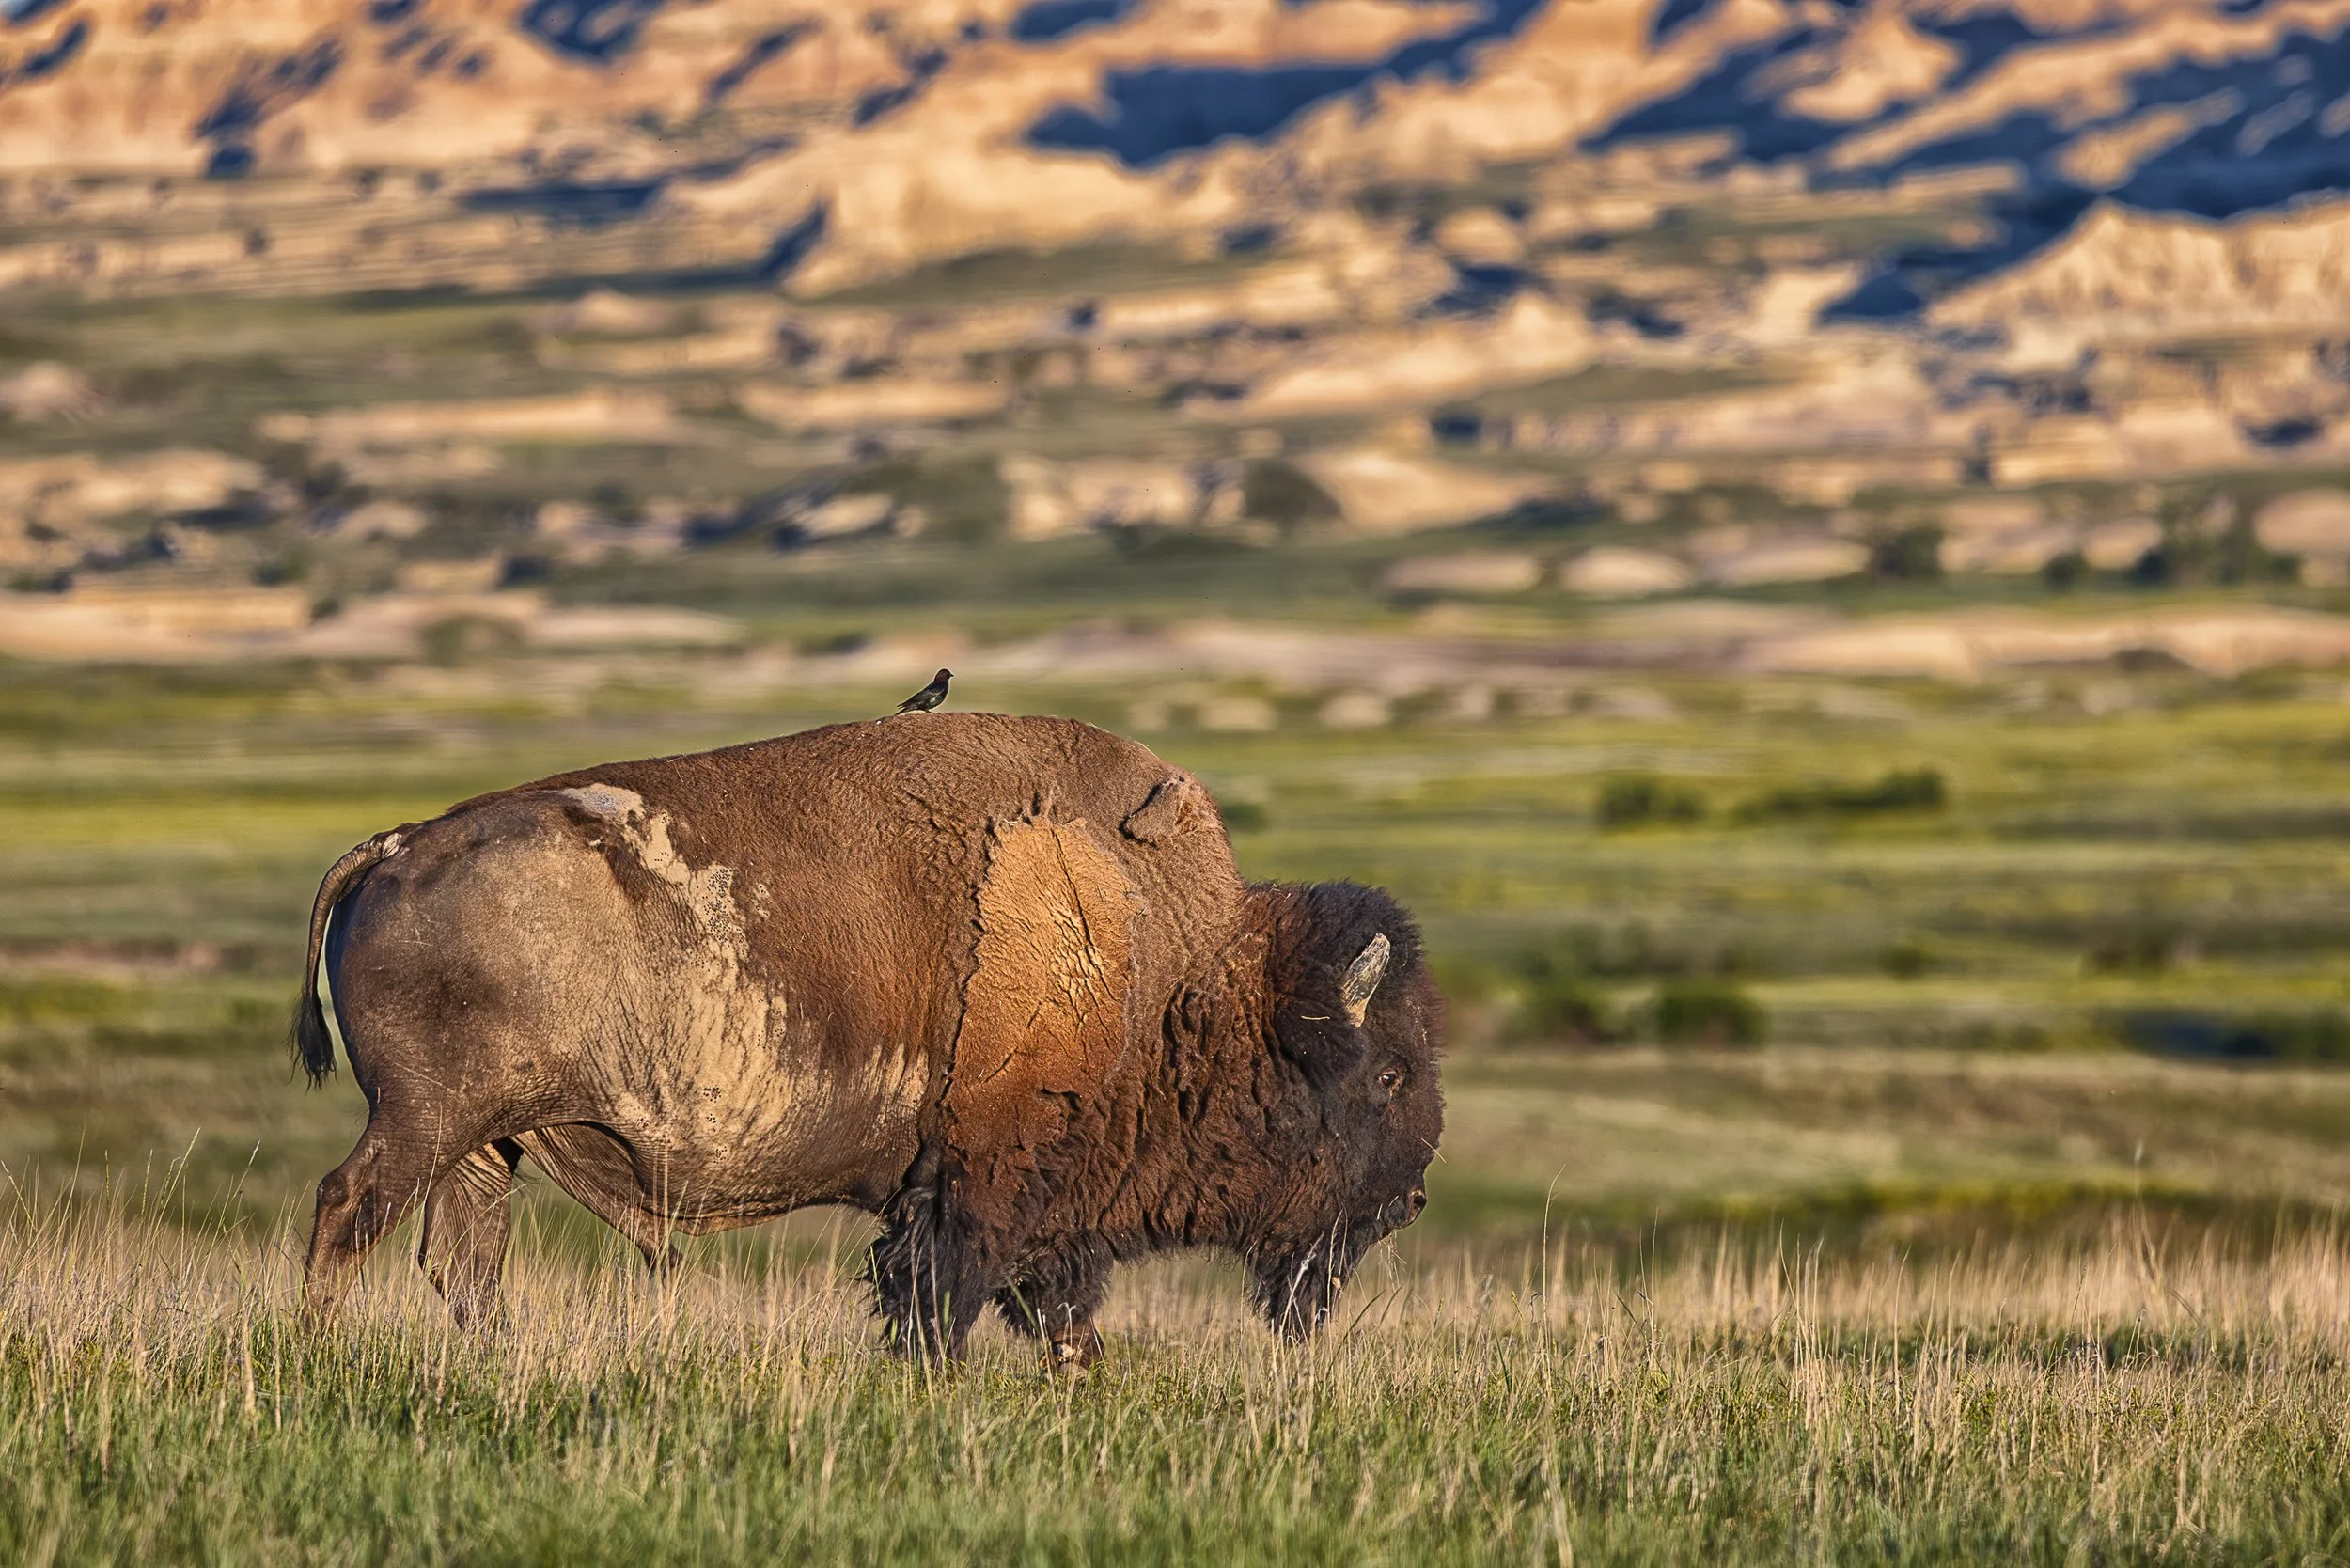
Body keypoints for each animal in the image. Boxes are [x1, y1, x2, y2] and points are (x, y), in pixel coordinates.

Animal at [293, 714, 1444, 1363]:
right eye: (1388, 1075)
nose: (1411, 1201)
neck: (1176, 969)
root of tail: (398, 843)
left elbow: (1052, 1311)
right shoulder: (984, 1187)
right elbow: (947, 1298)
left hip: (486, 1143)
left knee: (461, 1264)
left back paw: (497, 1366)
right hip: (425, 1122)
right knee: (348, 1211)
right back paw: (318, 1359)